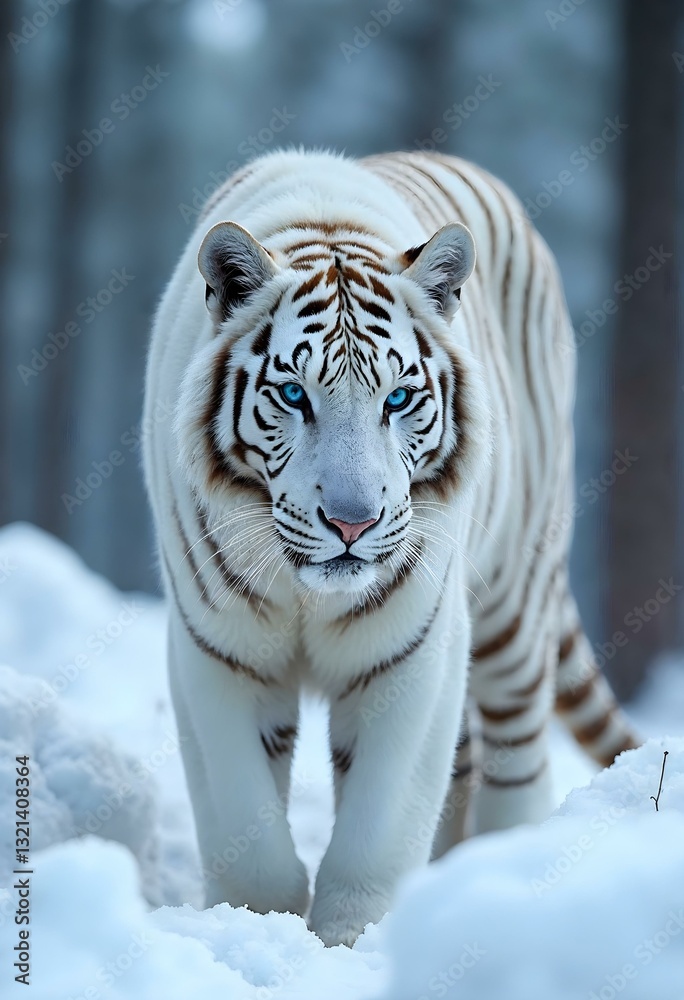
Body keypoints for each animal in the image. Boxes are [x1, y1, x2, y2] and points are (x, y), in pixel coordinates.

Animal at [142, 148, 639, 947]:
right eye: (293, 394)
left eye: (398, 399)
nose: (352, 522)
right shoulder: (216, 651)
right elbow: (245, 826)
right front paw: (256, 926)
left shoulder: (412, 650)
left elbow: (376, 828)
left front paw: (349, 941)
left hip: (512, 603)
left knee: (517, 760)